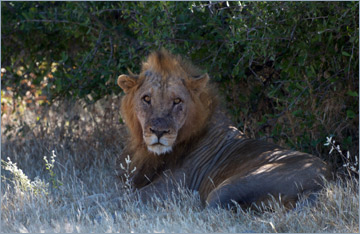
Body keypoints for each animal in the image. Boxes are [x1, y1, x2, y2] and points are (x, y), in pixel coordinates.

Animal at [116, 49, 334, 208]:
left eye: (177, 101)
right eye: (146, 99)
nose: (159, 131)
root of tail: (326, 182)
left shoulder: (170, 189)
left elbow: (120, 200)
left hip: (231, 186)